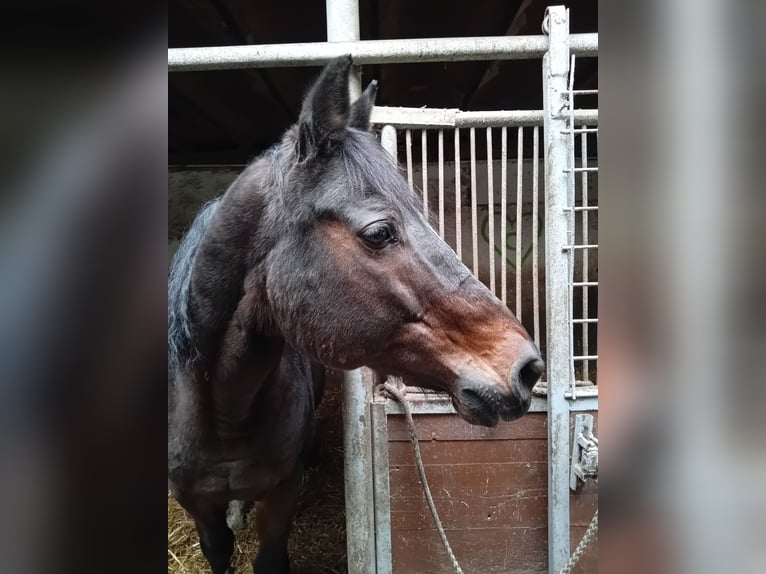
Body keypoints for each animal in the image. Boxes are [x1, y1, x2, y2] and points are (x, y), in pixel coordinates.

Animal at [168, 55, 544, 574]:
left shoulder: (282, 494)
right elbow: (219, 550)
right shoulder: (196, 506)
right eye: (379, 232)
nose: (527, 368)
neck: (225, 409)